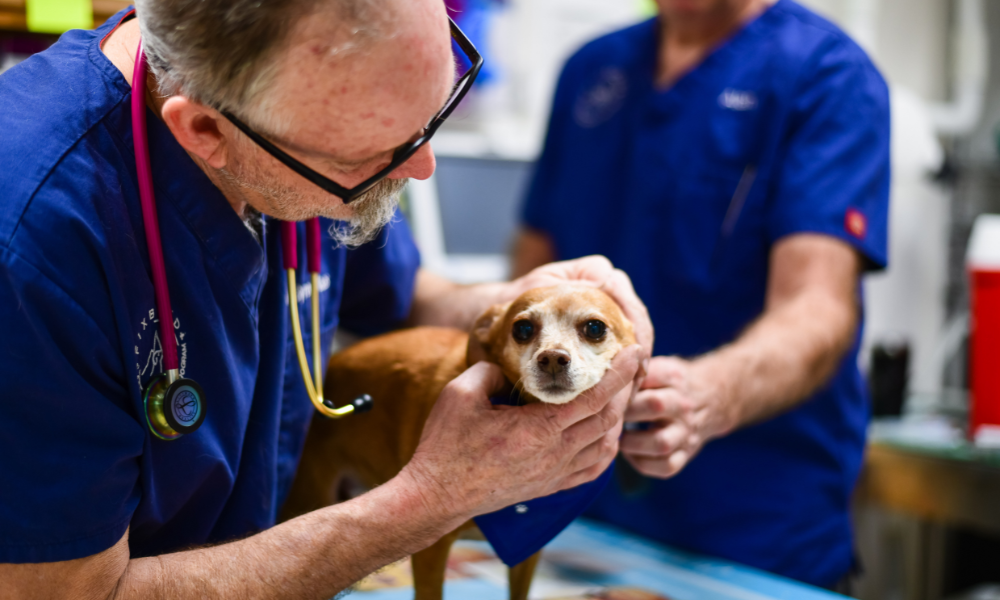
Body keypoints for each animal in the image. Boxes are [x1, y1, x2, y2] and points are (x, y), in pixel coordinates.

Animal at [284, 284, 632, 600]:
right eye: (522, 328)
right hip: (310, 494)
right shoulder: (431, 551)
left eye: (595, 327)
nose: (553, 358)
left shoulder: (530, 549)